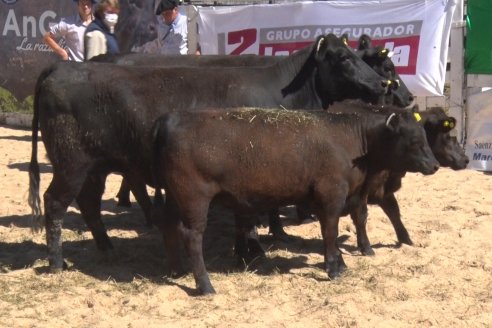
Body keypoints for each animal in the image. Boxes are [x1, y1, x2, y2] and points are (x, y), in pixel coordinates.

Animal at [28, 34, 390, 272]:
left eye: (359, 56)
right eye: (343, 58)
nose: (382, 84)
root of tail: (62, 68)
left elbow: (247, 214)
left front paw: (249, 249)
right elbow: (250, 215)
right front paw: (255, 248)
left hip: (97, 166)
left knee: (88, 203)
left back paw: (106, 247)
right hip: (72, 164)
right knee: (55, 203)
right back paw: (57, 262)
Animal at [152, 106, 440, 294]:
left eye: (425, 136)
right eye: (414, 139)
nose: (435, 165)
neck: (352, 139)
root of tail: (172, 118)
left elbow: (335, 232)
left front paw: (340, 262)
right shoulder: (331, 196)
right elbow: (330, 231)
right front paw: (333, 267)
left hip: (173, 197)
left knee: (168, 226)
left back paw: (176, 270)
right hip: (194, 199)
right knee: (192, 236)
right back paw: (204, 284)